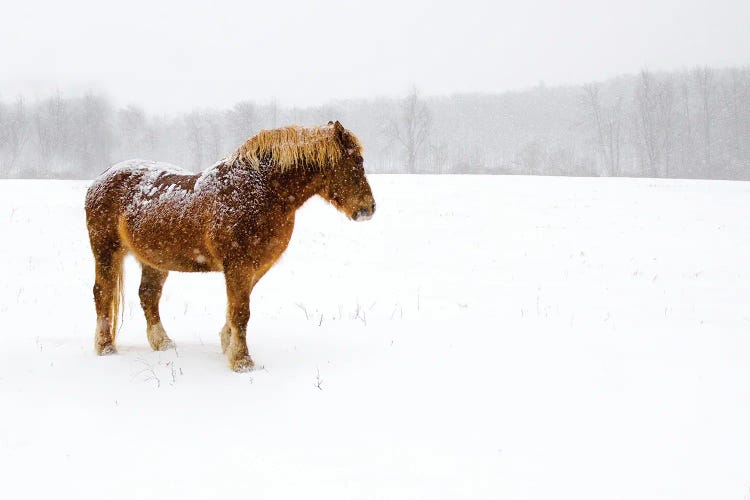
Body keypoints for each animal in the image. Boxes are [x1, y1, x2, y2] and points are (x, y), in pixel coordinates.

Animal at [84, 120, 376, 372]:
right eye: (357, 161)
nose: (369, 209)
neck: (262, 192)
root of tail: (99, 180)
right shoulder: (238, 264)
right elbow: (241, 312)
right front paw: (242, 362)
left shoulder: (255, 267)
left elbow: (235, 309)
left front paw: (227, 344)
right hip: (106, 251)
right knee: (103, 293)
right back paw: (106, 347)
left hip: (154, 260)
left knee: (148, 296)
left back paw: (163, 343)